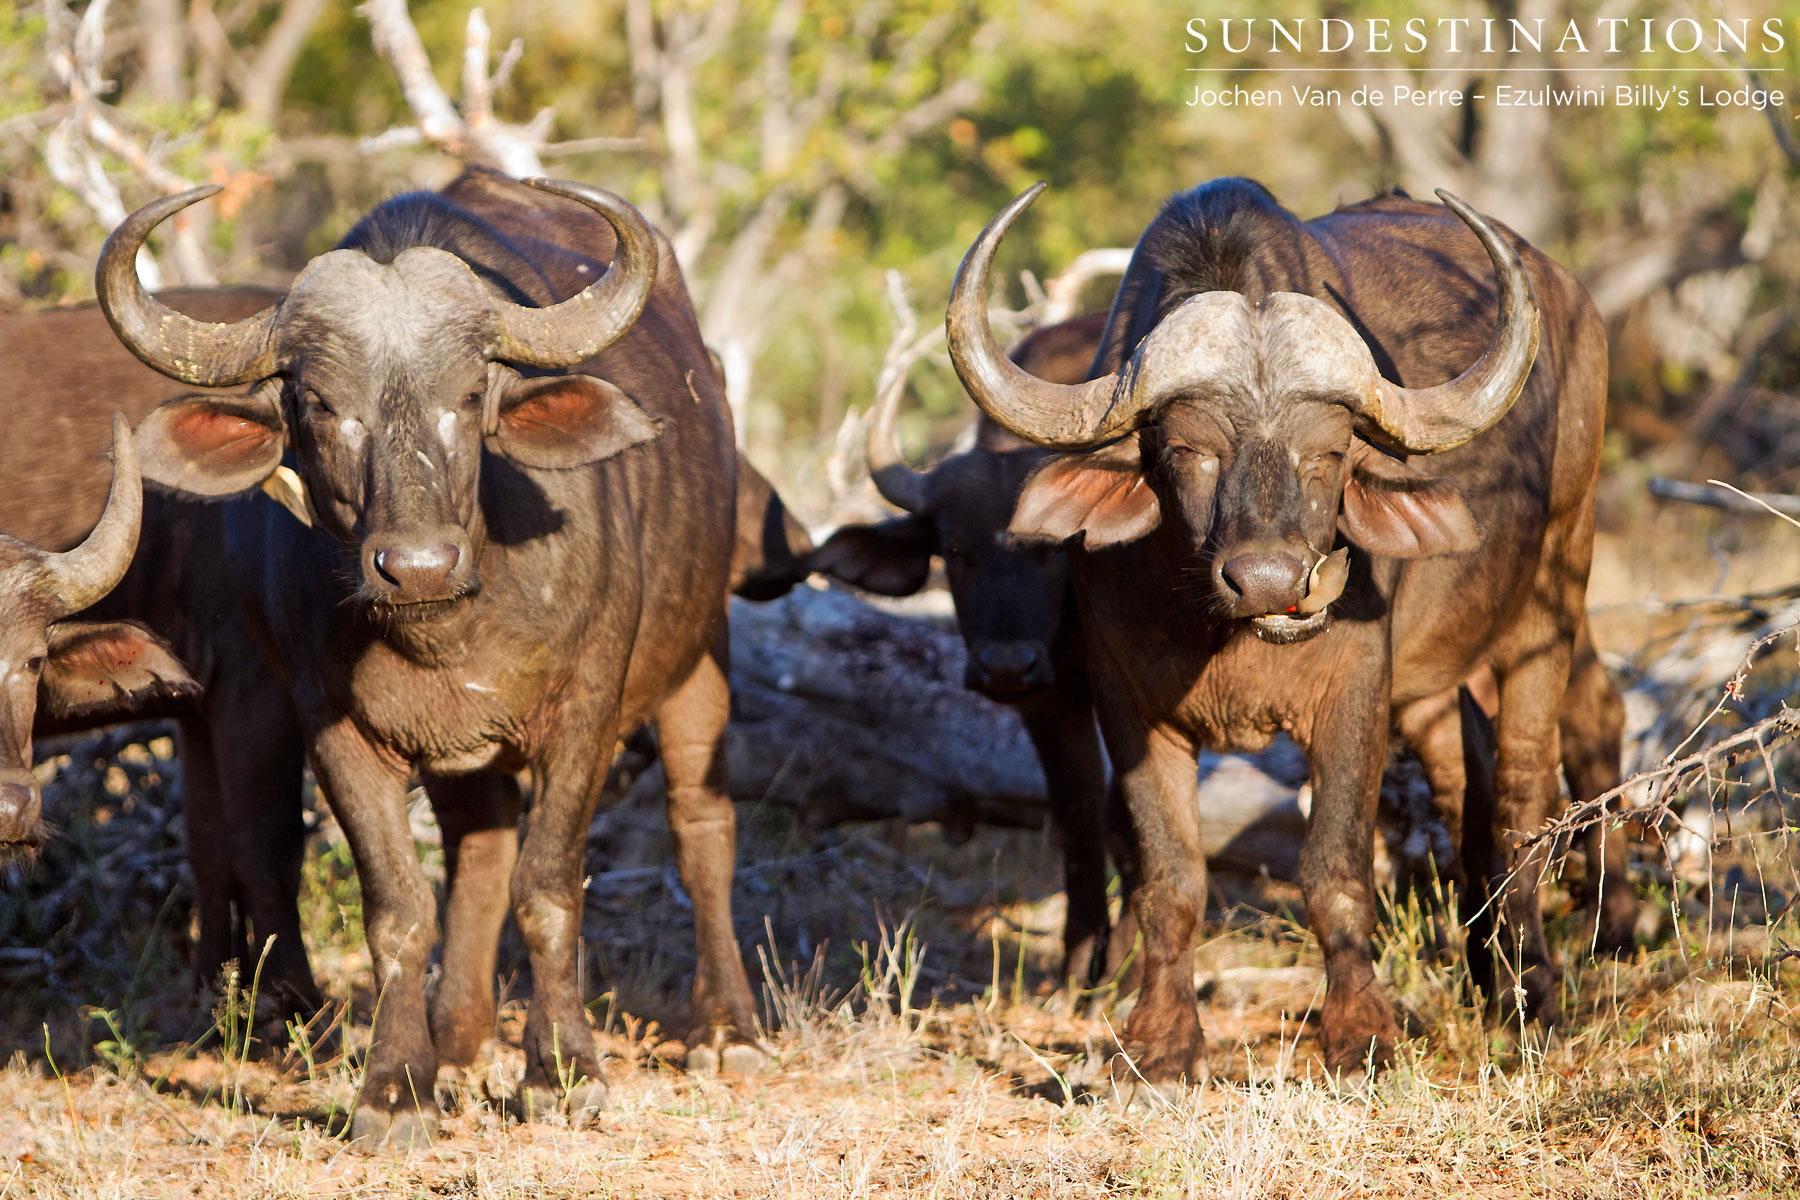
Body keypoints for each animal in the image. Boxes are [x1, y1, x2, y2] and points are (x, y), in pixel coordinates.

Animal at [98, 167, 759, 1146]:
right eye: (320, 404)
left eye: (471, 394)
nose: (415, 565)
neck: (446, 629)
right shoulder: (336, 732)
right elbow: (401, 909)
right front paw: (396, 1088)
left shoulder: (587, 711)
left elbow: (549, 887)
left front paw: (564, 1073)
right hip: (465, 762)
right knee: (478, 858)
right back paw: (457, 1043)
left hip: (700, 656)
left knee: (700, 825)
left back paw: (727, 1030)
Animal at [943, 179, 1633, 1079]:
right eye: (1188, 449)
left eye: (1328, 454)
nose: (1272, 580)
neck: (1220, 633)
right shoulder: (1127, 704)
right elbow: (1169, 877)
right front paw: (1158, 1045)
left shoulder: (1355, 692)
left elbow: (1334, 868)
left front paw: (1362, 1033)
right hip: (1437, 680)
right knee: (1464, 789)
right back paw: (1490, 977)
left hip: (1551, 592)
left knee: (1525, 786)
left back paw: (1535, 994)